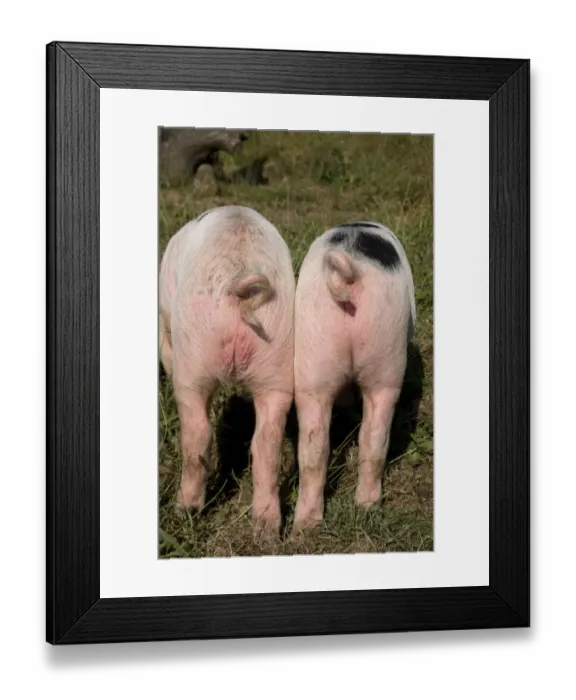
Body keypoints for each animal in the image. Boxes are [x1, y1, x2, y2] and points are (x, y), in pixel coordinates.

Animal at [159, 205, 295, 534]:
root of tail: (239, 287)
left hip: (193, 352)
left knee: (198, 433)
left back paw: (184, 511)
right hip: (278, 352)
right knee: (267, 442)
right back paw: (266, 531)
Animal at [292, 221, 416, 532]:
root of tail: (348, 276)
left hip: (316, 350)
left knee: (318, 445)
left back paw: (309, 525)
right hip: (387, 348)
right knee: (375, 433)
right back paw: (366, 507)